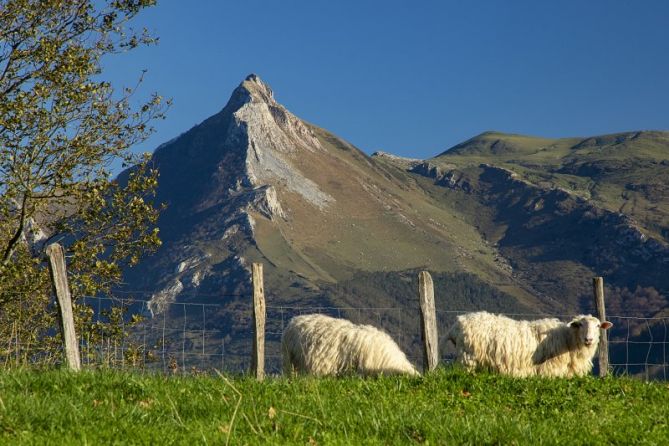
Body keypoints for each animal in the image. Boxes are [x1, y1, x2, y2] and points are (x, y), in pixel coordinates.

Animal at [446, 312, 612, 378]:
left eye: (598, 326)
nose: (589, 339)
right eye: (580, 325)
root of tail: (456, 324)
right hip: (468, 358)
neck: (568, 339)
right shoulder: (550, 369)